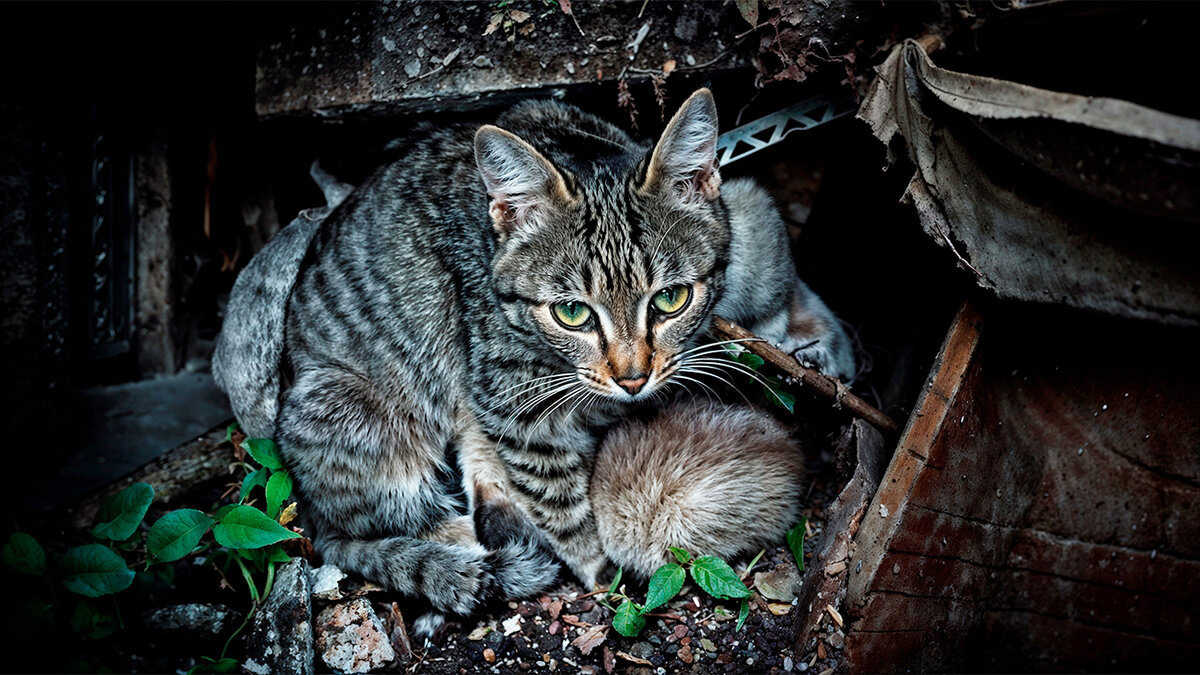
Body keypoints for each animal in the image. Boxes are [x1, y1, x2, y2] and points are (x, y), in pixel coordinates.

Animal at [213, 88, 854, 629]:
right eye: (572, 313)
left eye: (670, 299)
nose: (632, 378)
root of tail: (306, 509)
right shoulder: (511, 406)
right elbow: (561, 500)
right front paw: (597, 573)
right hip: (351, 411)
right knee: (411, 523)